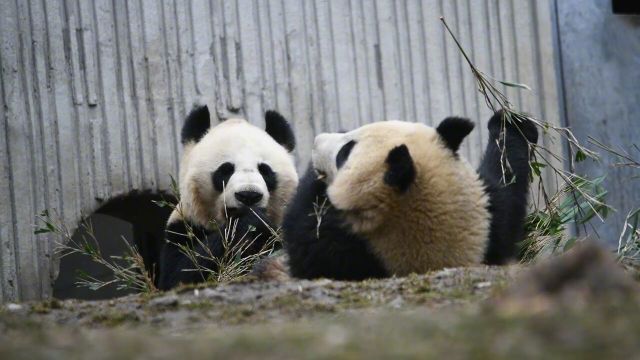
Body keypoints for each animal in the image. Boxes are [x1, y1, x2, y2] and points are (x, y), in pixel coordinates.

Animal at [160, 105, 300, 292]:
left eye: (265, 170)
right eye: (226, 170)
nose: (248, 195)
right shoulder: (183, 226)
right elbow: (181, 273)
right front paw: (248, 224)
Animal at [282, 111, 536, 280]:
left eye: (344, 154)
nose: (317, 140)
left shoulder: (350, 257)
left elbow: (305, 241)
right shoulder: (492, 219)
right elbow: (505, 183)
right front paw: (512, 122)